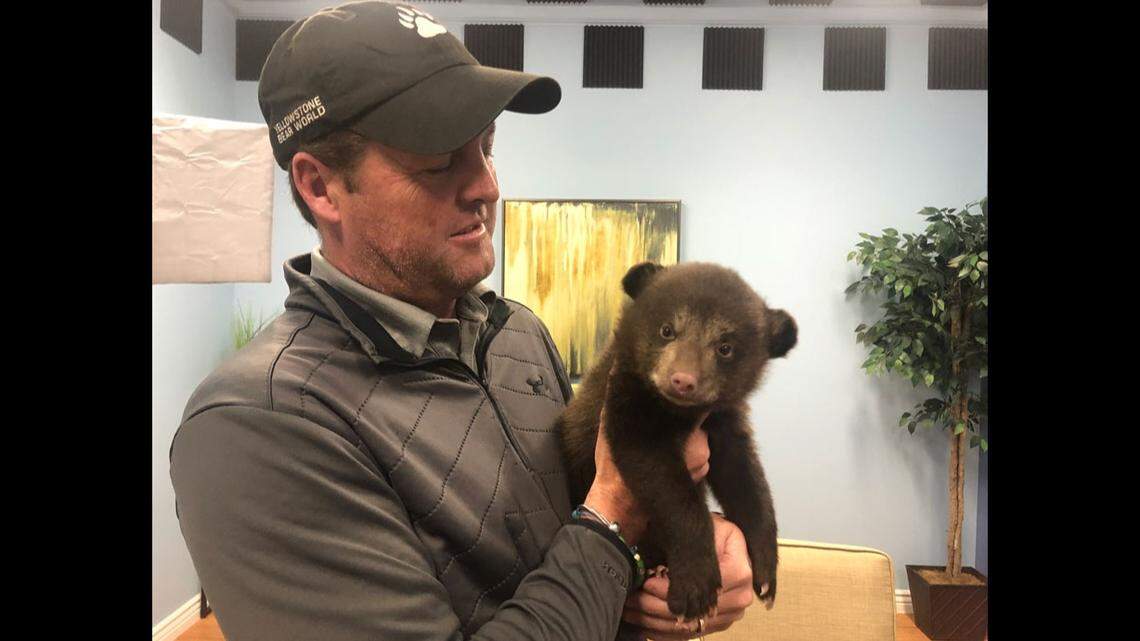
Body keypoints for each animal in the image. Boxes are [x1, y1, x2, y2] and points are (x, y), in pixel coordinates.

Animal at [556, 261, 797, 620]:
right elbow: (665, 484)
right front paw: (695, 587)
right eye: (667, 330)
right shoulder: (626, 404)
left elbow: (746, 479)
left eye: (725, 347)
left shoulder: (723, 423)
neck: (681, 414)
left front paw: (767, 573)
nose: (683, 381)